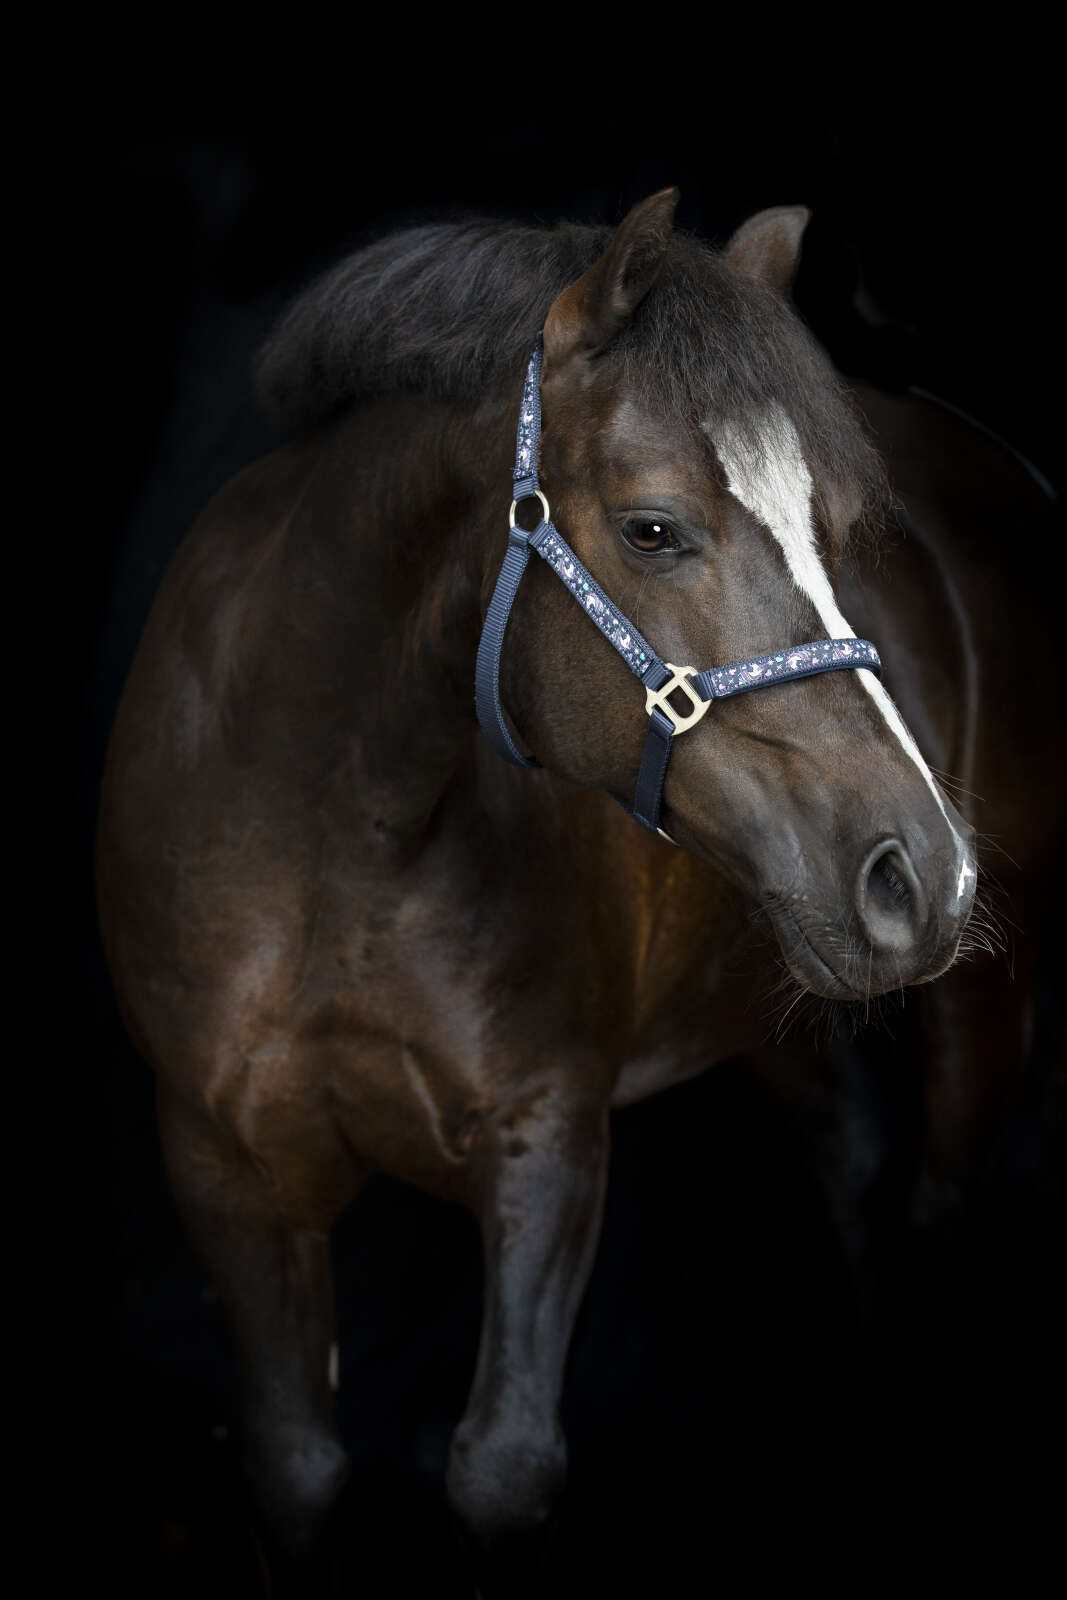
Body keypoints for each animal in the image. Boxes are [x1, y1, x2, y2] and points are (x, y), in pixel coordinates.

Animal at [96, 189, 1063, 1596]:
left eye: (839, 533)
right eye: (653, 527)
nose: (922, 873)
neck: (329, 832)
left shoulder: (545, 1141)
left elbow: (501, 1471)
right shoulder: (222, 1165)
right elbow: (295, 1463)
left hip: (982, 998)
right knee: (851, 1166)